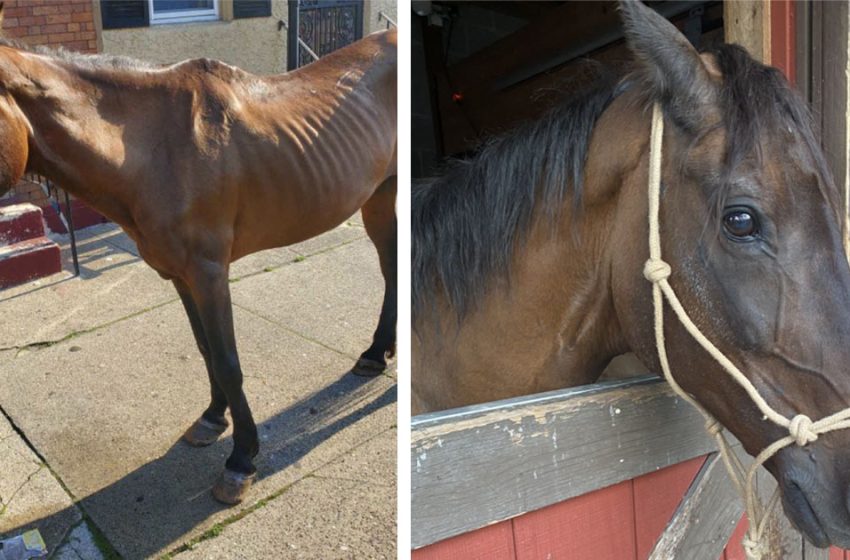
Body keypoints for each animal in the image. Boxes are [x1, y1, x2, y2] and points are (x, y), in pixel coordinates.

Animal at [0, 14, 396, 504]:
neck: (153, 148)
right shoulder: (179, 276)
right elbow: (206, 350)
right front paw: (212, 419)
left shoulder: (209, 274)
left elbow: (227, 360)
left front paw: (241, 459)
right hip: (379, 196)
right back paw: (376, 354)